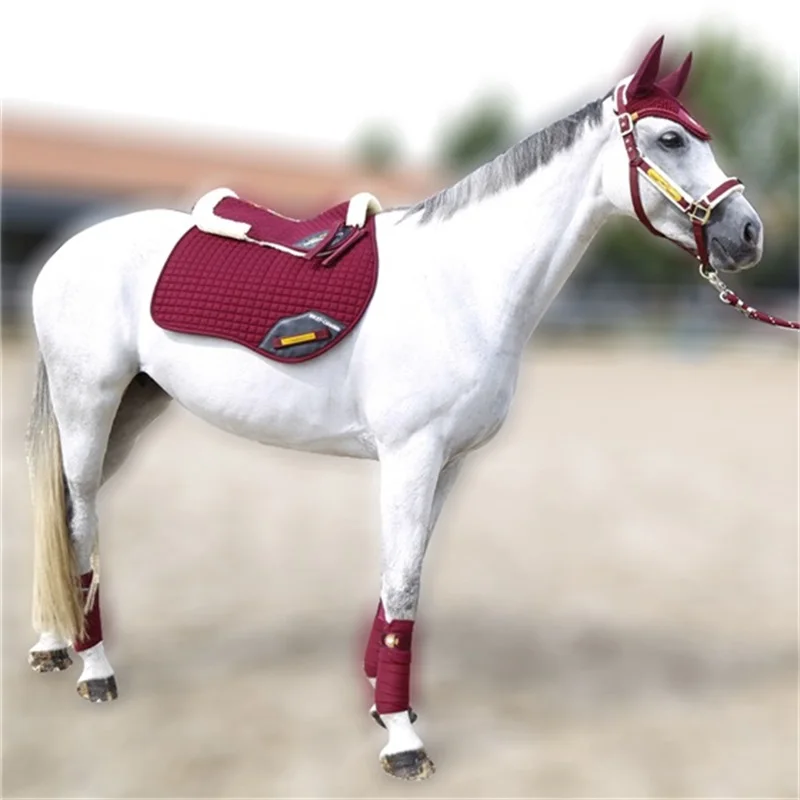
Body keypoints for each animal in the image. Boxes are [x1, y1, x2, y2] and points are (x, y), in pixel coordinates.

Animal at [25, 36, 763, 781]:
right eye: (669, 139)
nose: (749, 232)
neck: (464, 284)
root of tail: (69, 249)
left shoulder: (448, 464)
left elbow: (399, 583)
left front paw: (381, 704)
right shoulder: (412, 455)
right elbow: (403, 583)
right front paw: (404, 739)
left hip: (128, 412)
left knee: (62, 509)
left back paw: (54, 645)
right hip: (88, 406)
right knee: (80, 522)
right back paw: (95, 671)